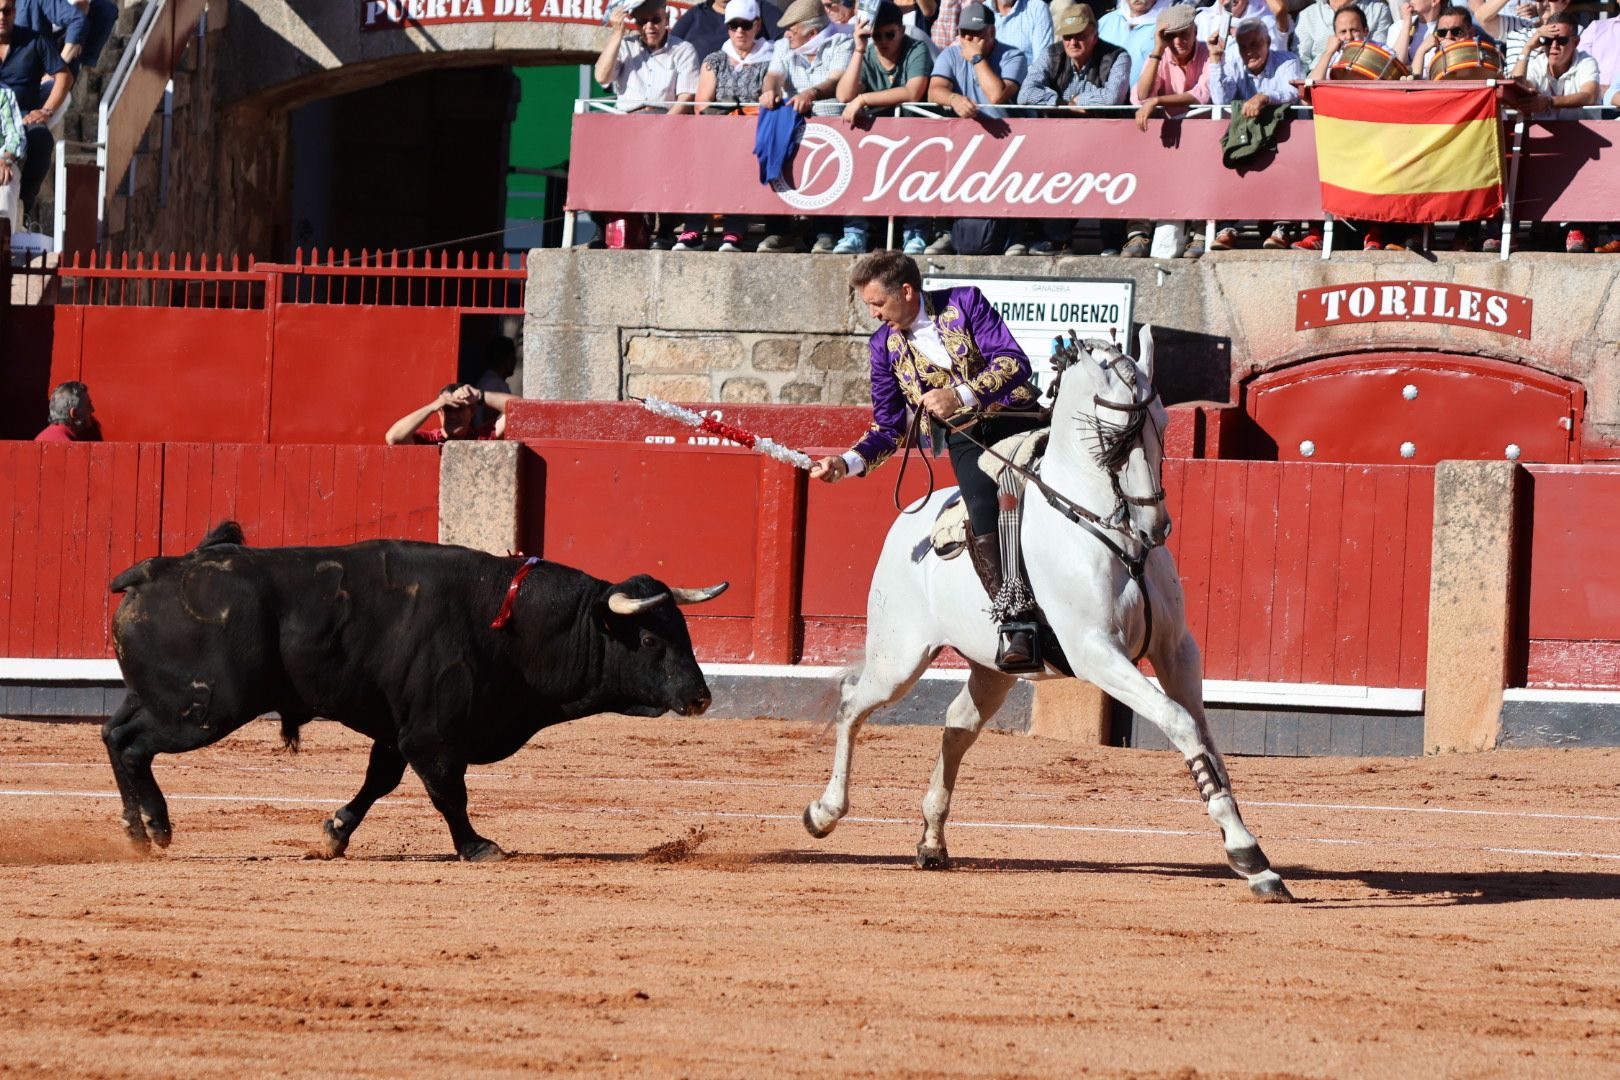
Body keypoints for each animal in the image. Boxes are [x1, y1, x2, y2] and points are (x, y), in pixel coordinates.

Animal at [107, 524, 729, 861]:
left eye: (684, 630)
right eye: (648, 637)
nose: (701, 698)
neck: (513, 626)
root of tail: (154, 571)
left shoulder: (396, 728)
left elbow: (379, 782)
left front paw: (334, 833)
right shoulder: (433, 733)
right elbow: (448, 792)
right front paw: (478, 847)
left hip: (160, 699)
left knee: (115, 735)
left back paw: (134, 832)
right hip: (202, 709)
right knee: (135, 746)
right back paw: (157, 828)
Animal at [806, 327, 1289, 906]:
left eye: (1163, 425)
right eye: (1113, 434)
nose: (1155, 526)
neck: (1107, 529)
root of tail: (909, 522)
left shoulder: (1177, 649)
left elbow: (1204, 736)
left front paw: (1255, 860)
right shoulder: (1096, 652)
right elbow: (1179, 723)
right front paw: (1245, 853)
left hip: (991, 667)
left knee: (957, 724)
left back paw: (931, 840)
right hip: (898, 656)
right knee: (853, 702)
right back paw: (823, 813)